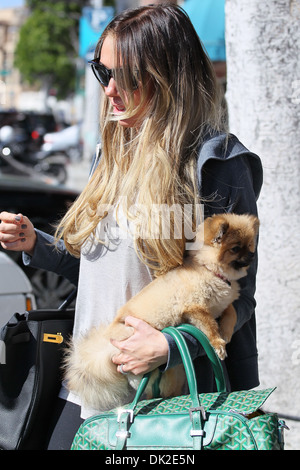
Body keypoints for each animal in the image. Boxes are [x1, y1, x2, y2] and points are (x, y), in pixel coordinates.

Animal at [64, 213, 258, 412]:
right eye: (236, 248)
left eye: (250, 245)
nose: (252, 254)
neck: (210, 270)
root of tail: (107, 345)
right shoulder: (195, 308)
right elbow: (210, 326)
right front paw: (218, 343)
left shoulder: (223, 305)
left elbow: (232, 313)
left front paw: (226, 332)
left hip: (173, 372)